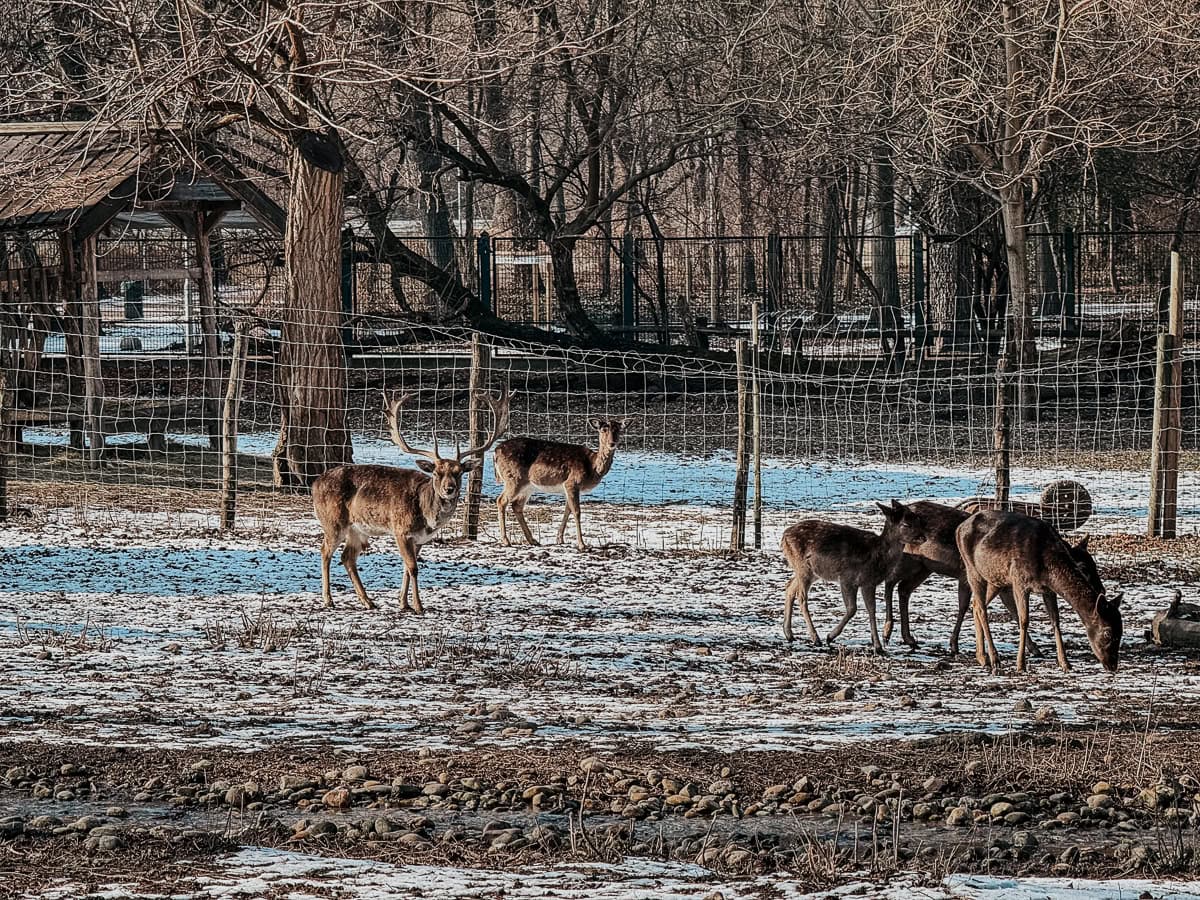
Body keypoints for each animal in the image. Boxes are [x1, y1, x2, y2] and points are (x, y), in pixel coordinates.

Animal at [312, 390, 510, 612]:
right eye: (436, 472)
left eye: (459, 472)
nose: (449, 489)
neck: (427, 516)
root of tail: (315, 483)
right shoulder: (401, 531)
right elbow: (413, 568)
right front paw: (418, 606)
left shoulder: (420, 539)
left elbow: (407, 568)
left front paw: (403, 603)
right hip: (333, 522)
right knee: (324, 551)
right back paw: (328, 599)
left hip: (357, 530)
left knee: (347, 557)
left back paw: (368, 601)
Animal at [493, 417, 631, 551]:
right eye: (603, 430)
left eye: (618, 430)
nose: (612, 443)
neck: (592, 467)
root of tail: (495, 452)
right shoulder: (572, 482)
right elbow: (577, 511)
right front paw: (582, 545)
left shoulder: (568, 488)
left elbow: (567, 510)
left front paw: (560, 539)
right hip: (513, 479)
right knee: (501, 500)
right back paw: (506, 541)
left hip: (528, 486)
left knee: (517, 505)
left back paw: (533, 540)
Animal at [780, 500, 927, 653]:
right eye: (906, 524)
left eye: (917, 519)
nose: (923, 537)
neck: (878, 557)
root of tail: (784, 537)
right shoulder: (847, 578)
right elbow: (853, 608)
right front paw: (830, 636)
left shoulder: (867, 583)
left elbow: (871, 609)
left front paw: (877, 645)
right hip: (803, 567)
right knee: (801, 597)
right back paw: (816, 638)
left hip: (810, 571)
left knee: (789, 587)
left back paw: (789, 634)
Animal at [956, 509, 1122, 674]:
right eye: (1107, 632)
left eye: (1121, 630)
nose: (1112, 665)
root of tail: (958, 529)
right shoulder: (1019, 580)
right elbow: (1024, 620)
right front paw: (1020, 665)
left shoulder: (1048, 590)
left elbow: (1055, 620)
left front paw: (1065, 663)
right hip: (972, 569)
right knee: (982, 609)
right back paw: (995, 660)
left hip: (995, 578)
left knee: (976, 604)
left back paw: (982, 657)